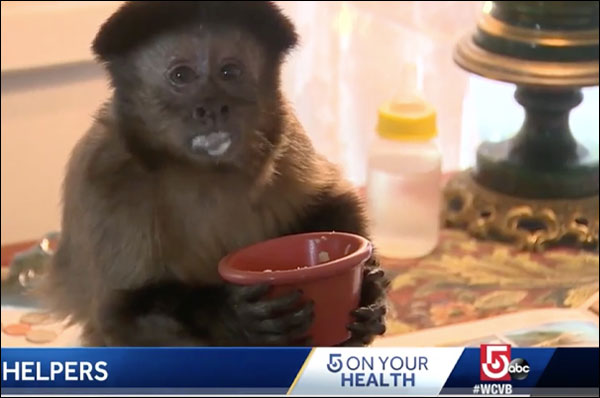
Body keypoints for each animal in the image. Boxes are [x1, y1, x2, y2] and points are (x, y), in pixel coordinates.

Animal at [42, 1, 390, 346]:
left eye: (229, 72)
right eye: (181, 75)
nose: (211, 107)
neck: (201, 172)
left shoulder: (287, 136)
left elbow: (331, 201)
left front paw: (369, 291)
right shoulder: (104, 175)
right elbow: (121, 316)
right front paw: (233, 316)